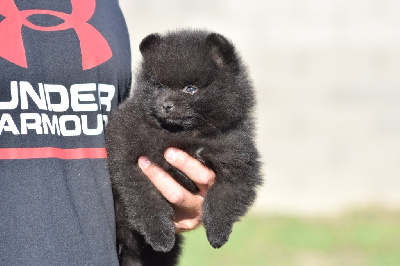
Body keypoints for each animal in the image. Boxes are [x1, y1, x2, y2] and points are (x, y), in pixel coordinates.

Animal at [106, 29, 262, 266]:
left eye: (191, 89)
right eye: (159, 87)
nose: (166, 105)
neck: (182, 135)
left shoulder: (237, 157)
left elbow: (223, 198)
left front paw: (217, 233)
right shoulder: (127, 151)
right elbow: (146, 199)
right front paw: (160, 235)